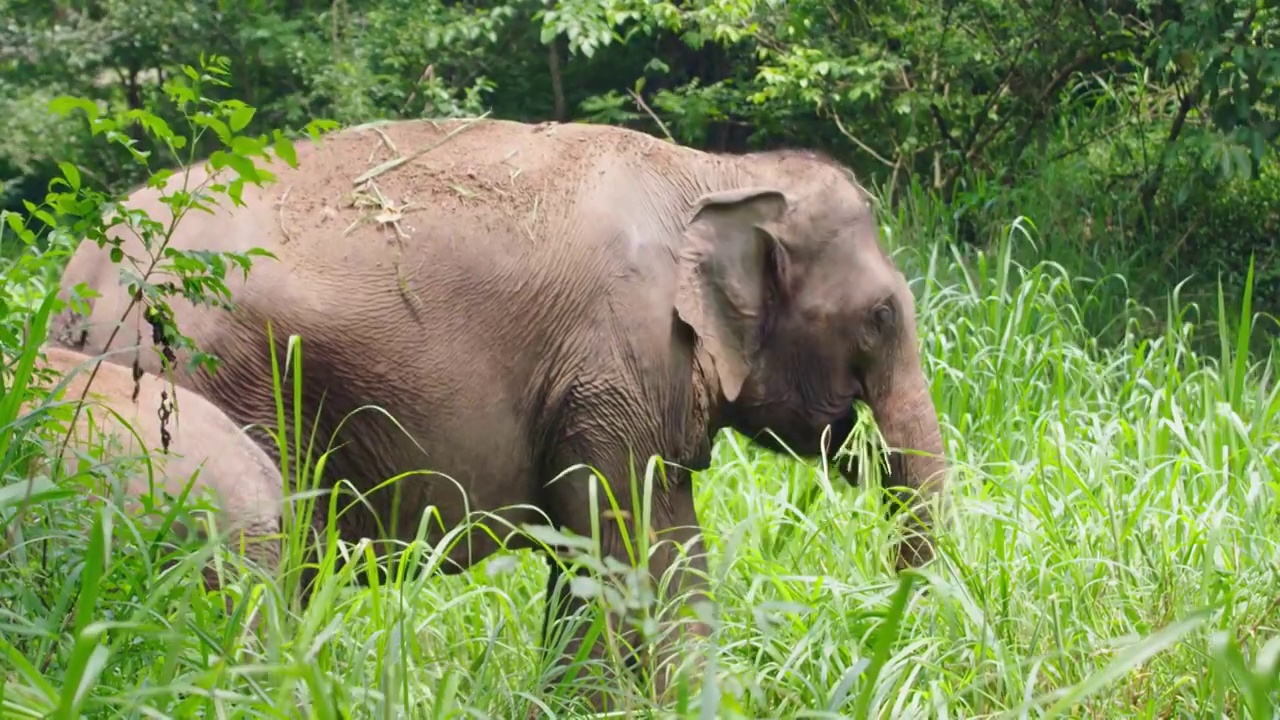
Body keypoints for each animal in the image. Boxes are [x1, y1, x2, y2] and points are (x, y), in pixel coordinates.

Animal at [49, 116, 947, 707]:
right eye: (880, 317)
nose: (889, 628)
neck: (716, 173)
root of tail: (73, 285)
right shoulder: (617, 363)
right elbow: (629, 541)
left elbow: (632, 550)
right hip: (200, 380)